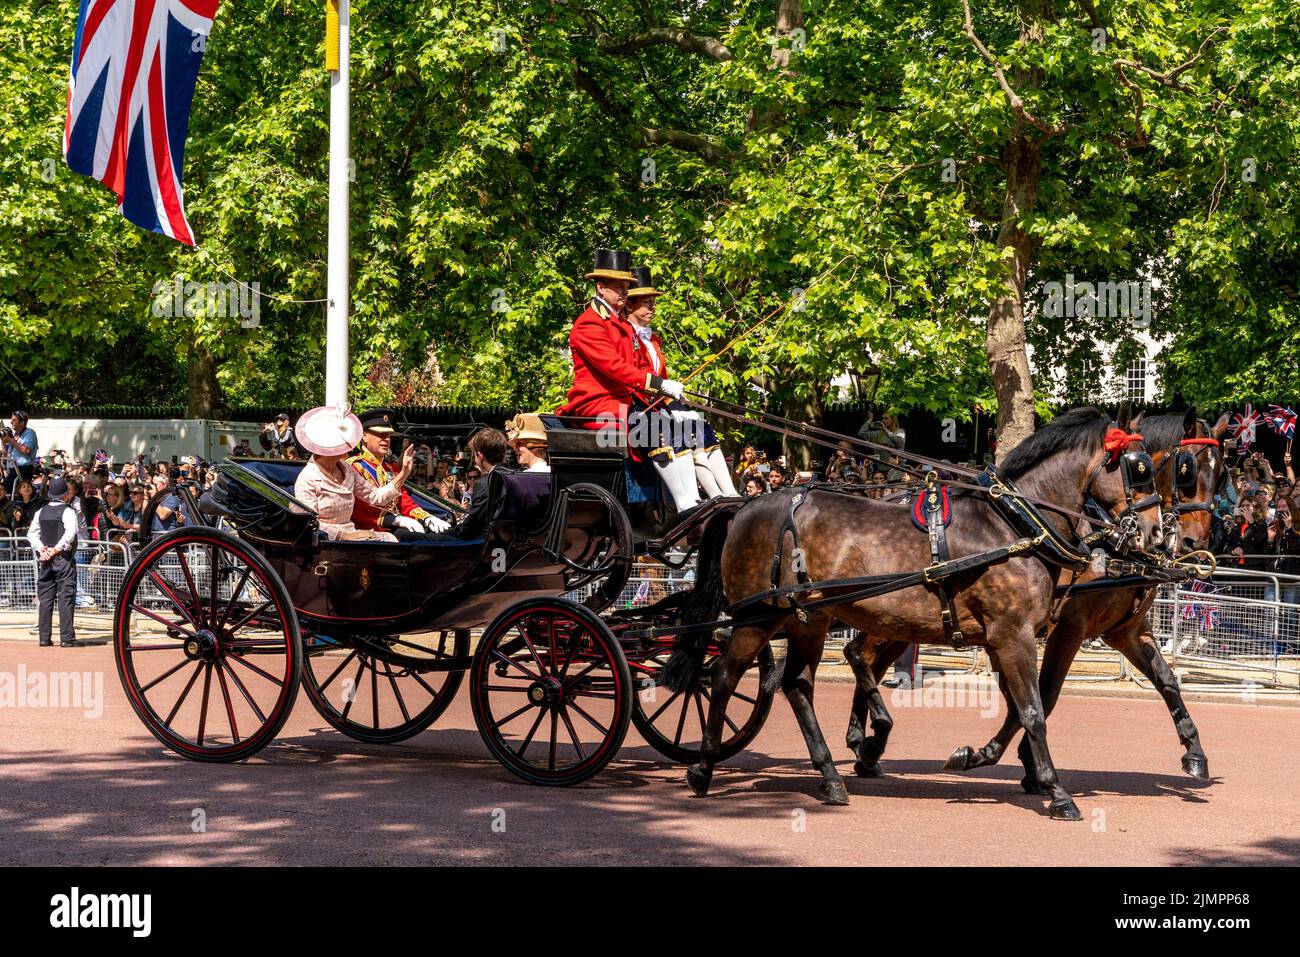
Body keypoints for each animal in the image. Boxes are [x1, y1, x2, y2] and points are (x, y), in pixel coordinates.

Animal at [676, 408, 1164, 816]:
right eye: (1139, 468)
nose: (1158, 532)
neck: (1015, 527)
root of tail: (748, 504)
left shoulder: (1002, 640)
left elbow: (1020, 706)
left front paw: (981, 758)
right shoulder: (1014, 635)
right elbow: (1033, 711)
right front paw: (1056, 791)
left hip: (807, 620)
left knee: (795, 684)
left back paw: (831, 775)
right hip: (756, 617)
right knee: (724, 677)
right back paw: (703, 767)